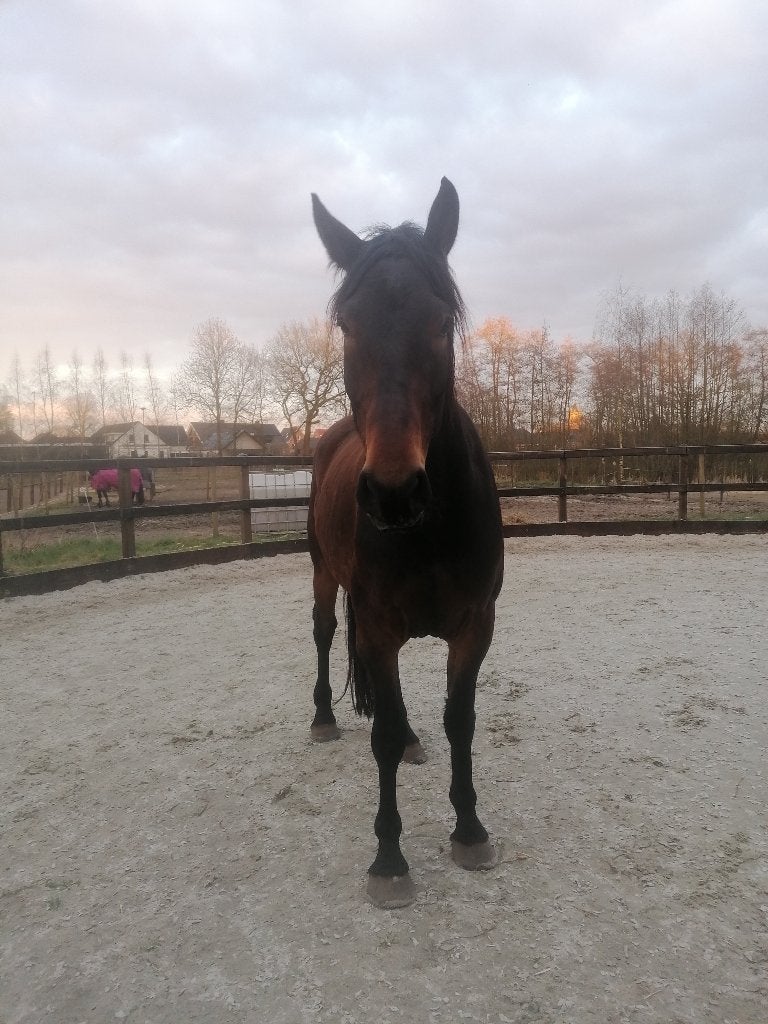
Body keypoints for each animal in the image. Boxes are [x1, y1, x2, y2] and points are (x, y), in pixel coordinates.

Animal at [308, 178, 504, 907]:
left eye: (440, 320)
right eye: (348, 324)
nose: (394, 493)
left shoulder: (475, 625)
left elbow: (459, 721)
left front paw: (470, 829)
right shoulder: (377, 628)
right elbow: (384, 738)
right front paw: (389, 858)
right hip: (323, 577)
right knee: (323, 633)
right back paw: (322, 718)